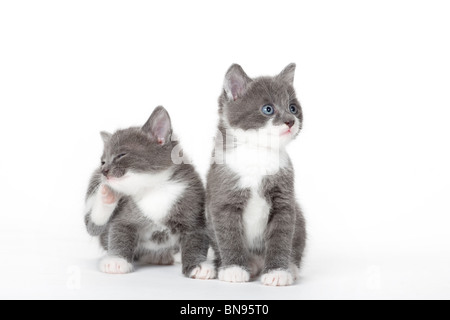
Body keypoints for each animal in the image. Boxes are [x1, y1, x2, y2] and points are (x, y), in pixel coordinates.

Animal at [86, 106, 218, 278]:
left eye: (121, 155)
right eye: (102, 161)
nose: (103, 170)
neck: (154, 188)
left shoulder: (193, 205)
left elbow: (195, 239)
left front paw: (198, 266)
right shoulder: (124, 214)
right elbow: (119, 232)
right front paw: (116, 261)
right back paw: (107, 196)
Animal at [207, 63, 306, 286]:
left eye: (293, 108)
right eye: (268, 109)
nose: (290, 121)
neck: (258, 154)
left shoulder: (284, 200)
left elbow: (281, 236)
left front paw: (278, 271)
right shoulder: (223, 198)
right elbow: (228, 235)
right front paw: (234, 269)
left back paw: (291, 266)